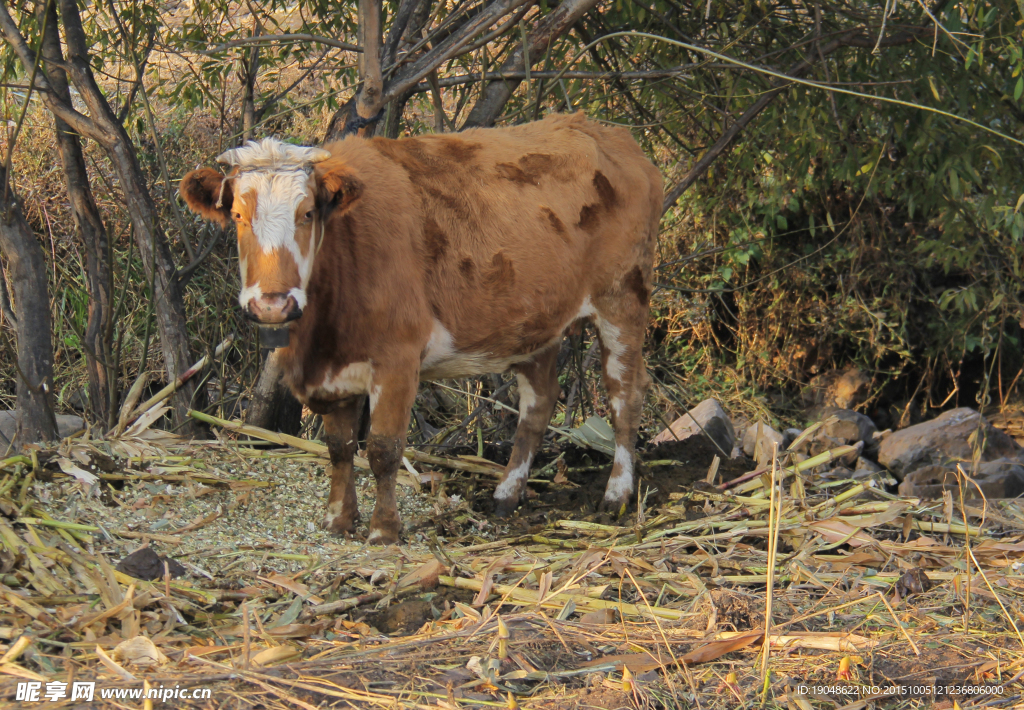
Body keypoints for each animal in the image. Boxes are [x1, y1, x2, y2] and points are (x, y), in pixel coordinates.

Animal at [182, 112, 663, 540]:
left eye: (307, 214)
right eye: (238, 216)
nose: (272, 304)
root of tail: (609, 134)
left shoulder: (397, 357)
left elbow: (383, 448)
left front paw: (383, 530)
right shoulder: (333, 370)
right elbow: (339, 447)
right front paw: (339, 519)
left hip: (622, 297)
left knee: (625, 394)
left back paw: (617, 494)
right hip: (535, 320)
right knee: (539, 402)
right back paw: (506, 493)